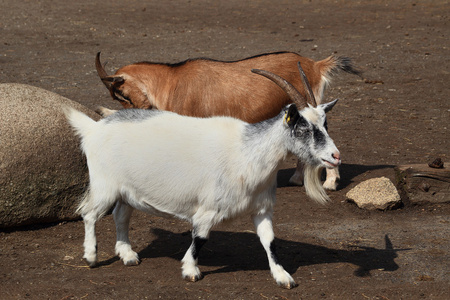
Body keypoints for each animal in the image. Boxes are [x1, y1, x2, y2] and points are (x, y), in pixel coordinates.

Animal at [65, 66, 342, 288]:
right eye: (303, 128)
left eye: (325, 124)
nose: (335, 156)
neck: (248, 153)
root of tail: (94, 128)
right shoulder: (208, 209)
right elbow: (200, 237)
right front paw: (190, 270)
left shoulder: (262, 208)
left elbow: (269, 241)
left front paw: (283, 277)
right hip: (105, 185)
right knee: (89, 213)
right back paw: (91, 256)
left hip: (126, 190)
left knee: (121, 215)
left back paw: (128, 255)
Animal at [95, 51, 358, 188]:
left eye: (122, 94)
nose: (139, 110)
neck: (172, 82)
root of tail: (315, 64)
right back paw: (296, 178)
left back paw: (330, 182)